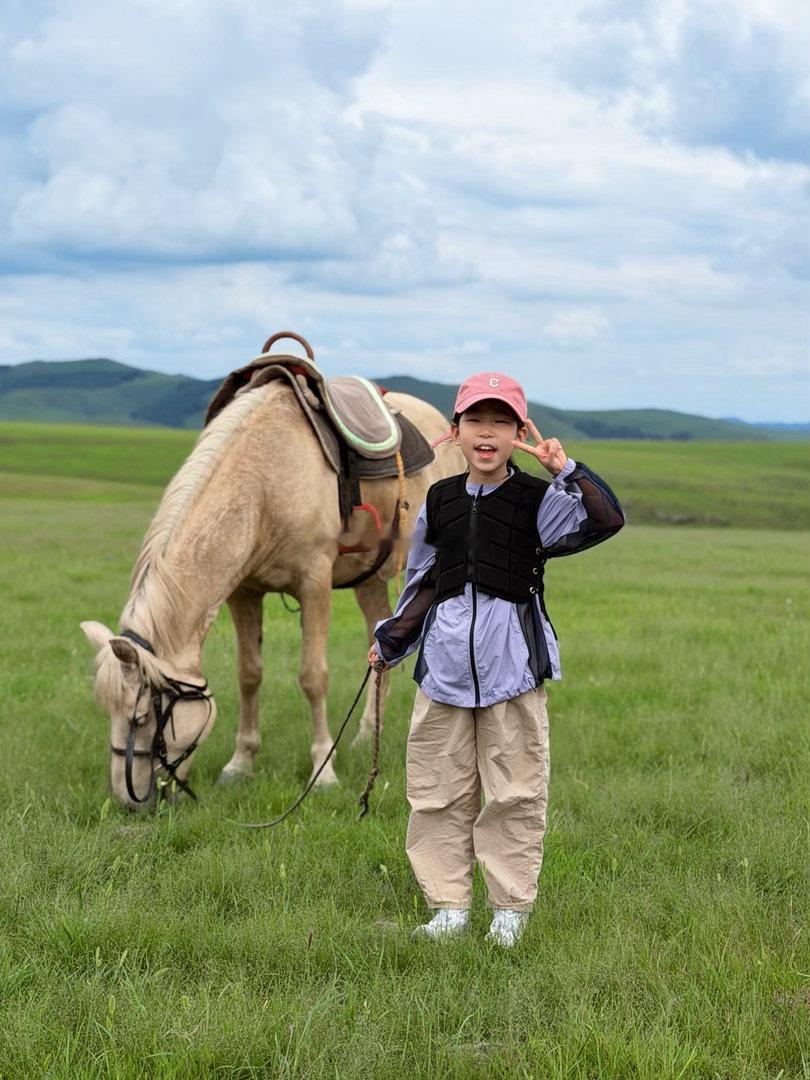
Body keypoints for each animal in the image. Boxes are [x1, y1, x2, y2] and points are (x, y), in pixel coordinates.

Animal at [81, 375, 464, 808]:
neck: (264, 482)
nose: (126, 800)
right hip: (369, 581)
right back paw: (366, 735)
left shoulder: (315, 585)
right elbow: (249, 674)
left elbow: (313, 677)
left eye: (142, 717)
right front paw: (240, 763)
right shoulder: (243, 593)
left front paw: (323, 771)